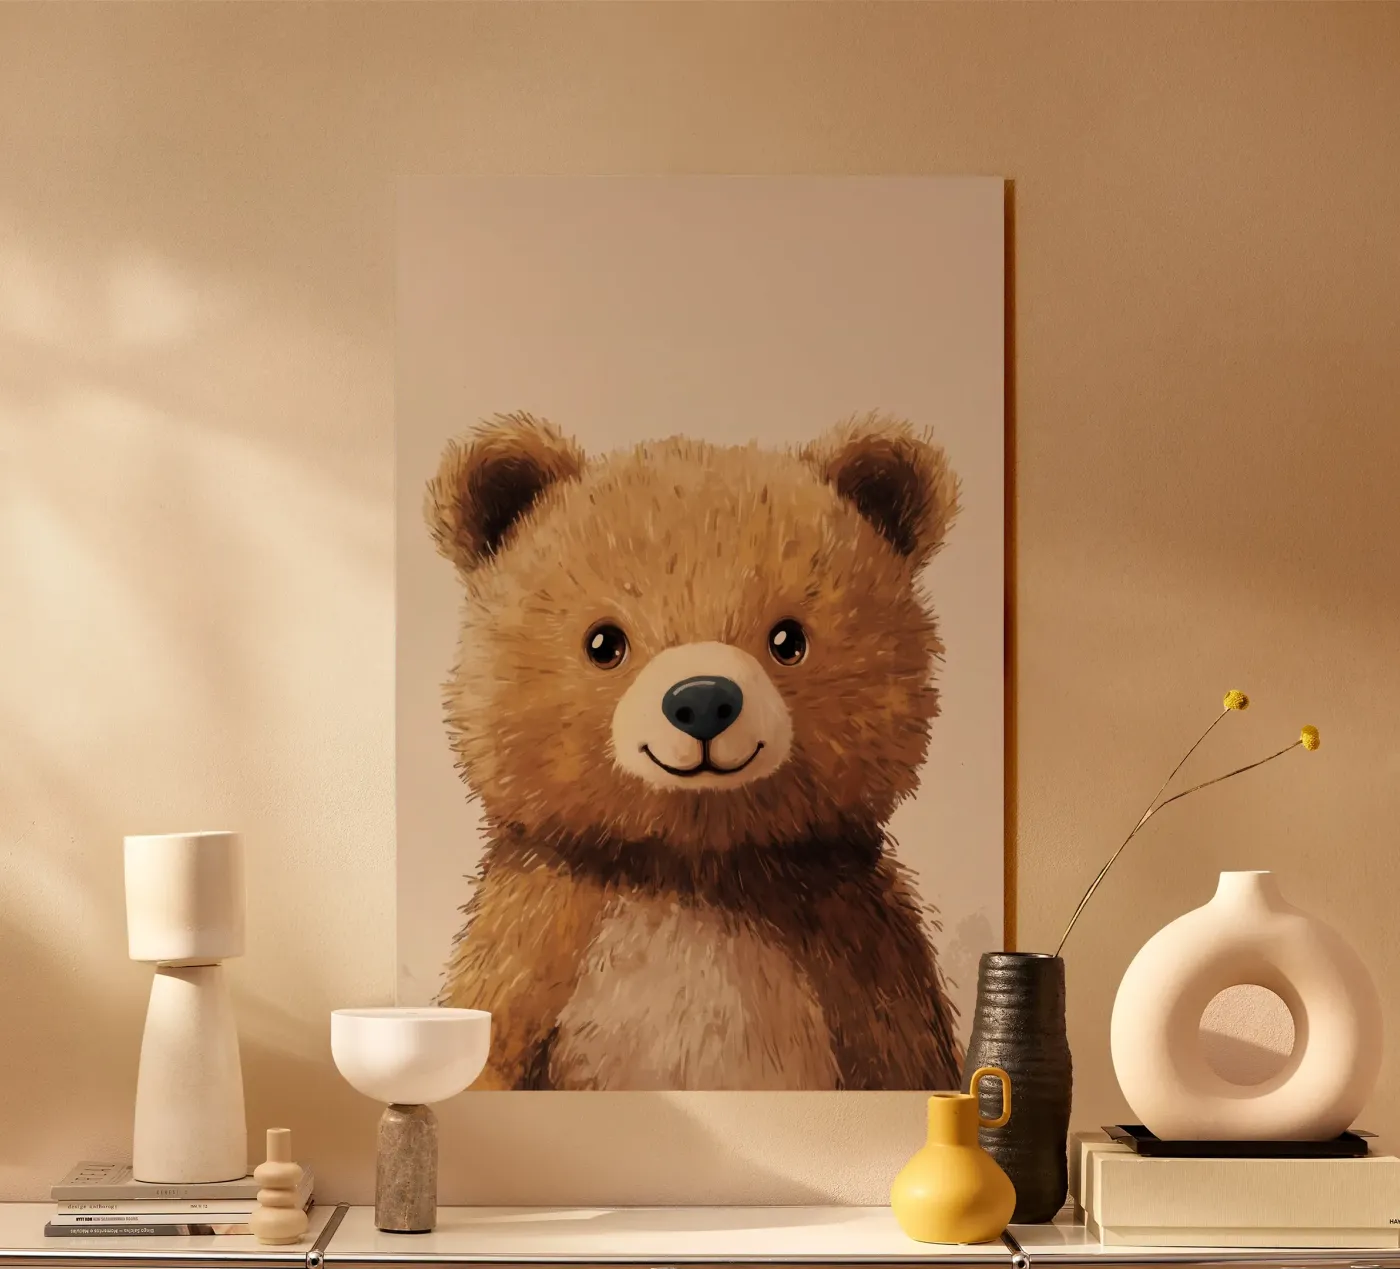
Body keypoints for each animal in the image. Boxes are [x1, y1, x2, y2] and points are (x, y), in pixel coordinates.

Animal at [425, 410, 964, 1091]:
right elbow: (491, 1032)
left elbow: (905, 1059)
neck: (694, 874)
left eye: (789, 640)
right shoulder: (539, 925)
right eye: (604, 642)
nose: (704, 701)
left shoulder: (857, 945)